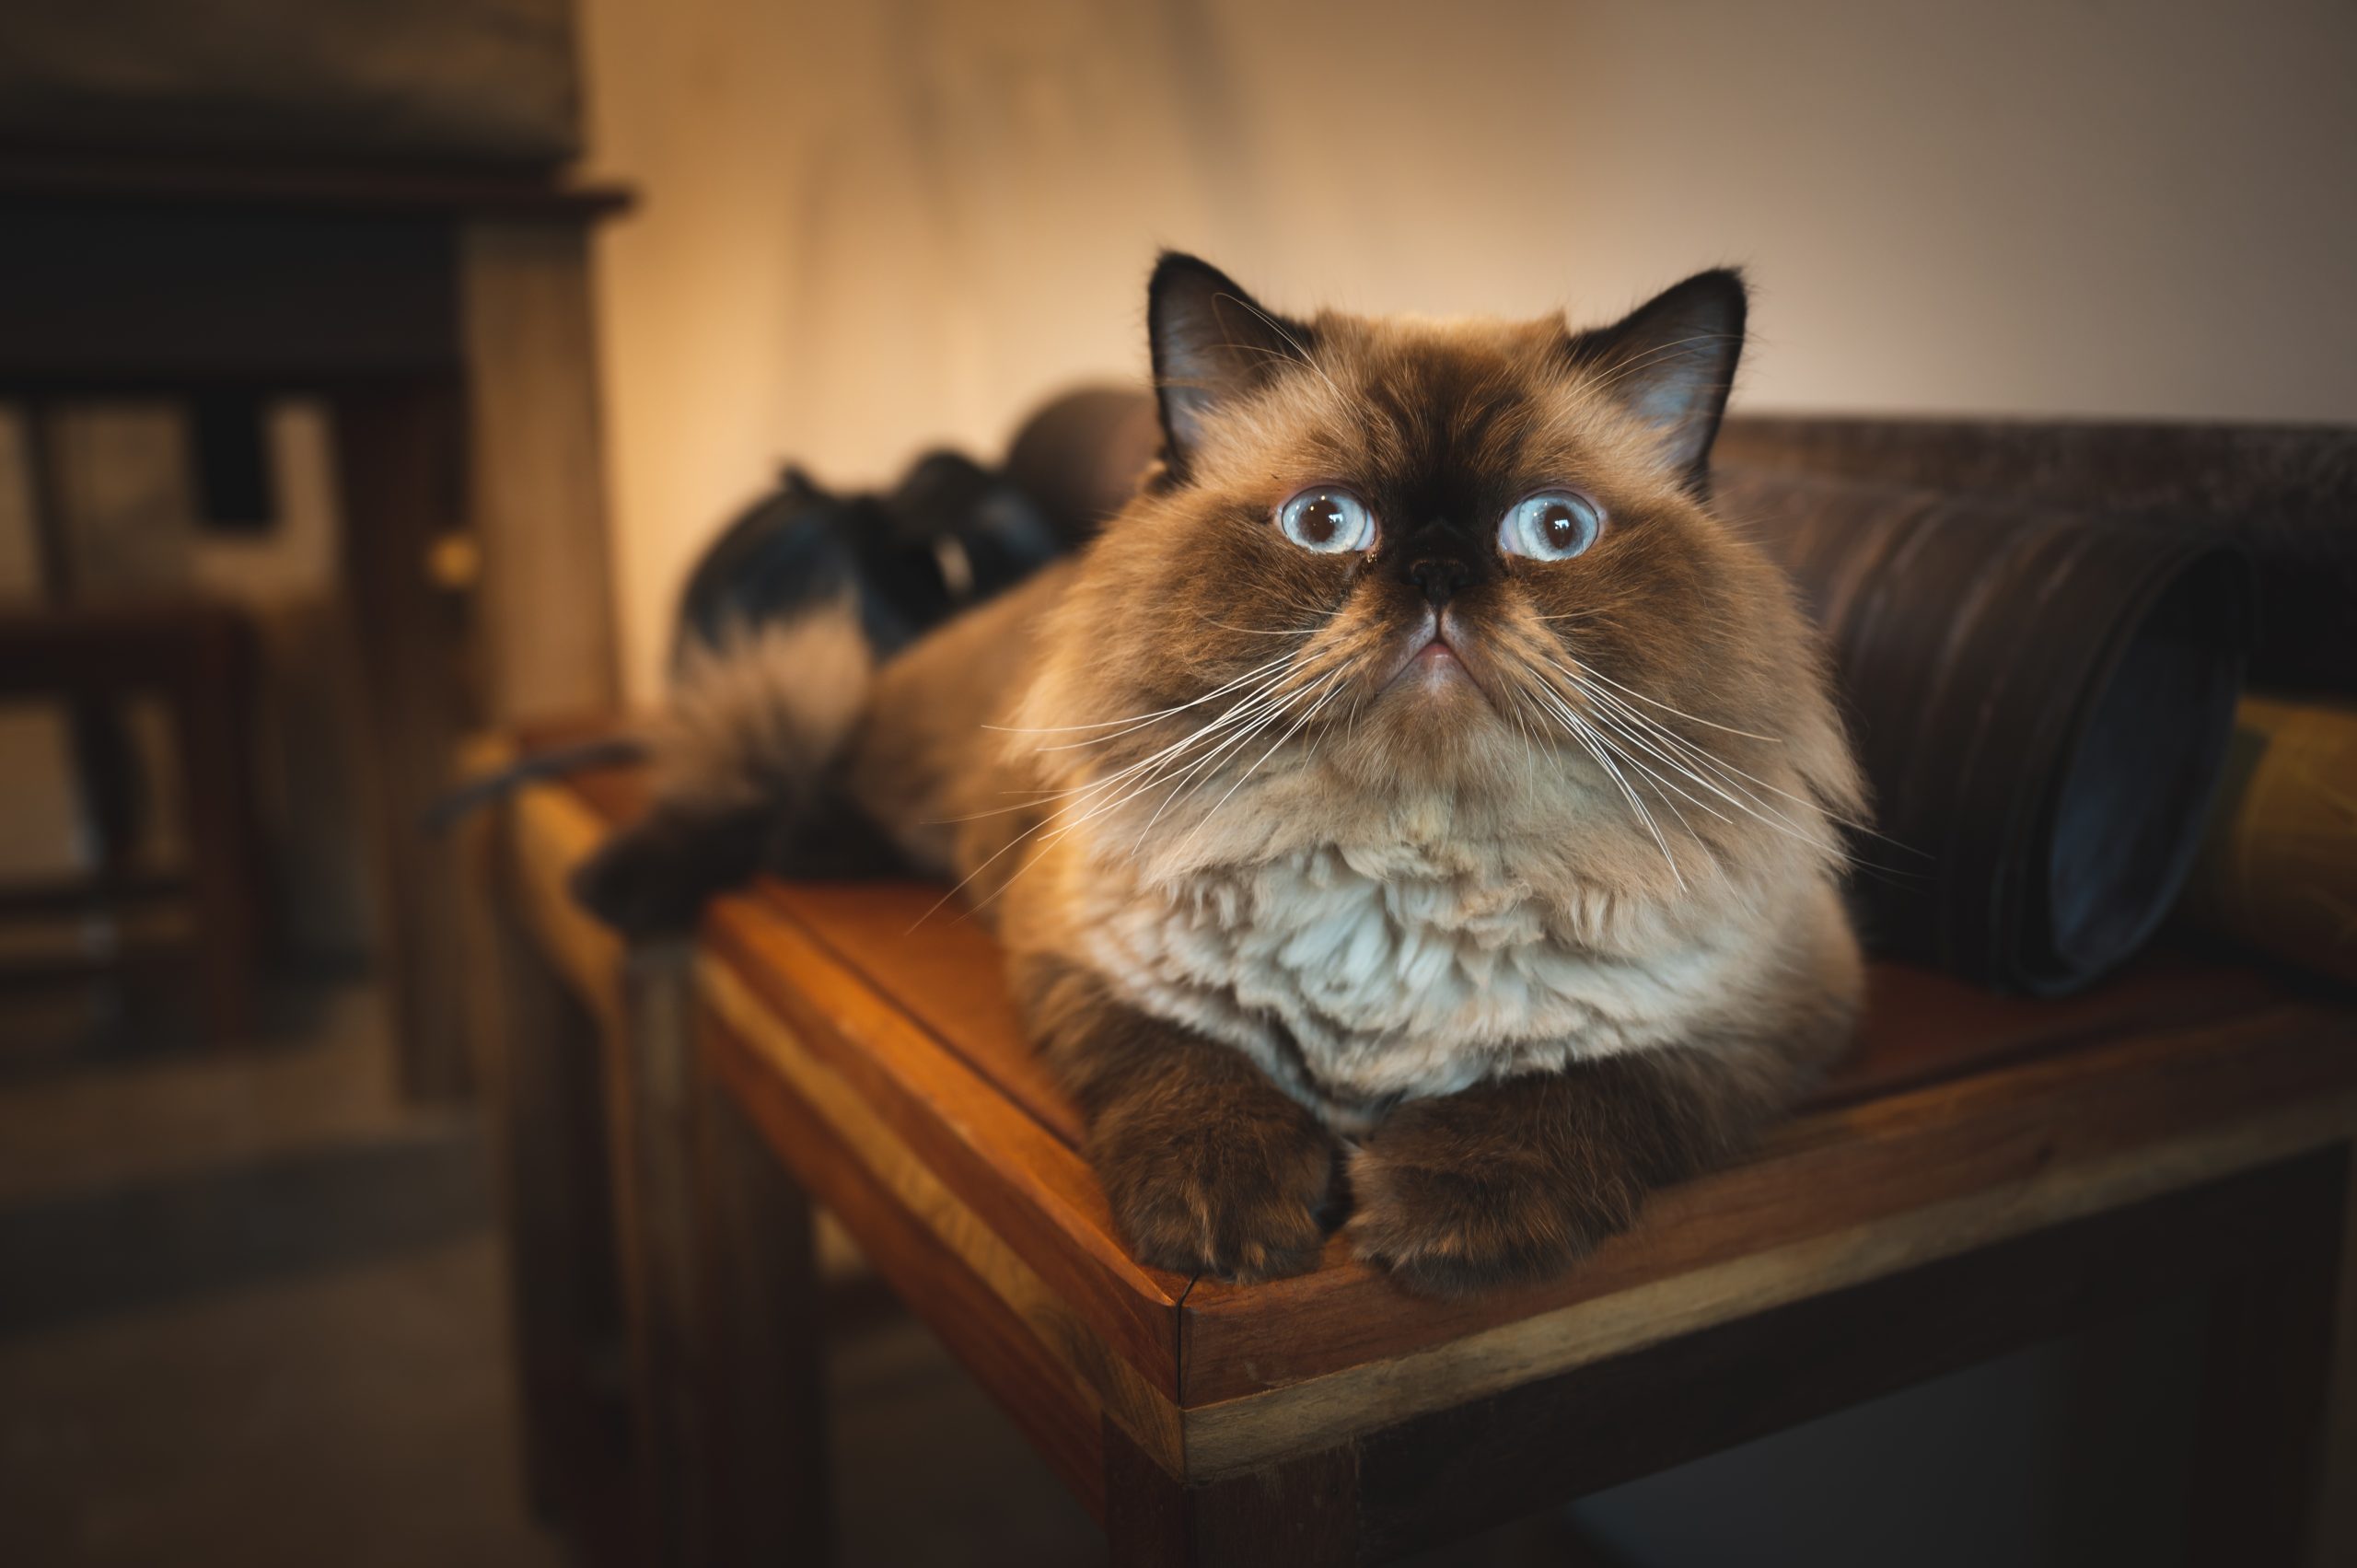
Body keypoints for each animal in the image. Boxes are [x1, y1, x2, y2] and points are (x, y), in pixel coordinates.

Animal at [579, 253, 1866, 1292]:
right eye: (1325, 522)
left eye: (1553, 532)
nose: (1439, 575)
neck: (1405, 861)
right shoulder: (1086, 957)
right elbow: (1195, 1070)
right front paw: (1229, 1217)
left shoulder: (1758, 1019)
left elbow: (1574, 1090)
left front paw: (1445, 1220)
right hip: (889, 759)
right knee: (778, 767)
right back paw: (640, 885)